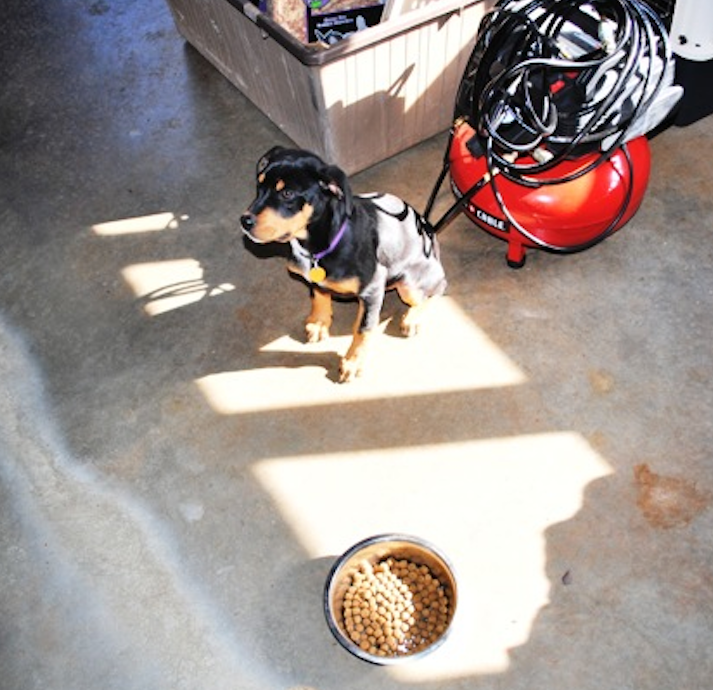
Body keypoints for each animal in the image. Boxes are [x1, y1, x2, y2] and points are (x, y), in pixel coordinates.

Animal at [240, 147, 447, 382]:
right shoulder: (317, 279)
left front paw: (352, 362)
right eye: (259, 186)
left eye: (287, 194)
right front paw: (319, 323)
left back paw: (411, 319)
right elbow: (319, 295)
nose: (244, 221)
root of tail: (431, 235)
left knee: (436, 291)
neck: (315, 247)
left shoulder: (372, 290)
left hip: (409, 283)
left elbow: (364, 329)